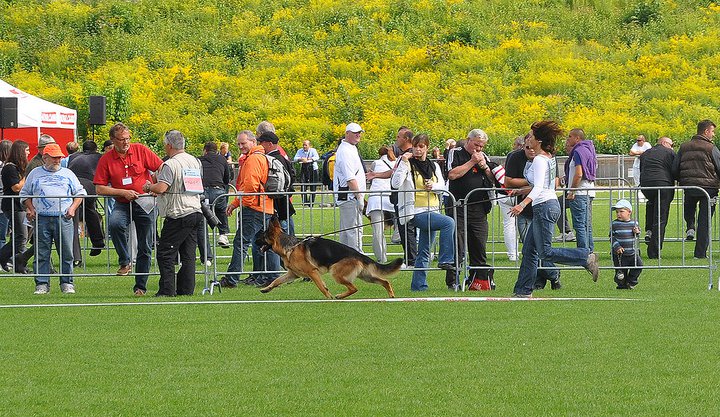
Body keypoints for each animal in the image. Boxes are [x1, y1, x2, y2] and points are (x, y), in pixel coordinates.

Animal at [253, 216, 402, 298]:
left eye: (261, 237)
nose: (254, 241)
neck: (290, 246)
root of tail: (359, 254)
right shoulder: (292, 274)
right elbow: (276, 281)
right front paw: (266, 289)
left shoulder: (312, 272)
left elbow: (321, 287)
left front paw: (328, 297)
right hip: (366, 276)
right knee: (385, 281)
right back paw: (391, 296)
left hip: (336, 272)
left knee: (354, 288)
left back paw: (339, 296)